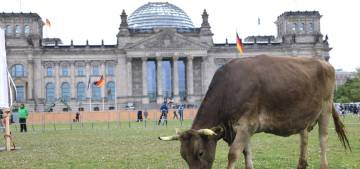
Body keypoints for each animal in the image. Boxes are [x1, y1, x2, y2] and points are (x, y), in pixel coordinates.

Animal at [159, 55, 350, 169]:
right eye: (183, 155)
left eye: (200, 153)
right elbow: (246, 152)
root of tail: (324, 62)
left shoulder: (246, 124)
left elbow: (233, 154)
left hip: (325, 108)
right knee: (304, 137)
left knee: (323, 139)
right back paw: (301, 164)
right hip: (303, 115)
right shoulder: (241, 128)